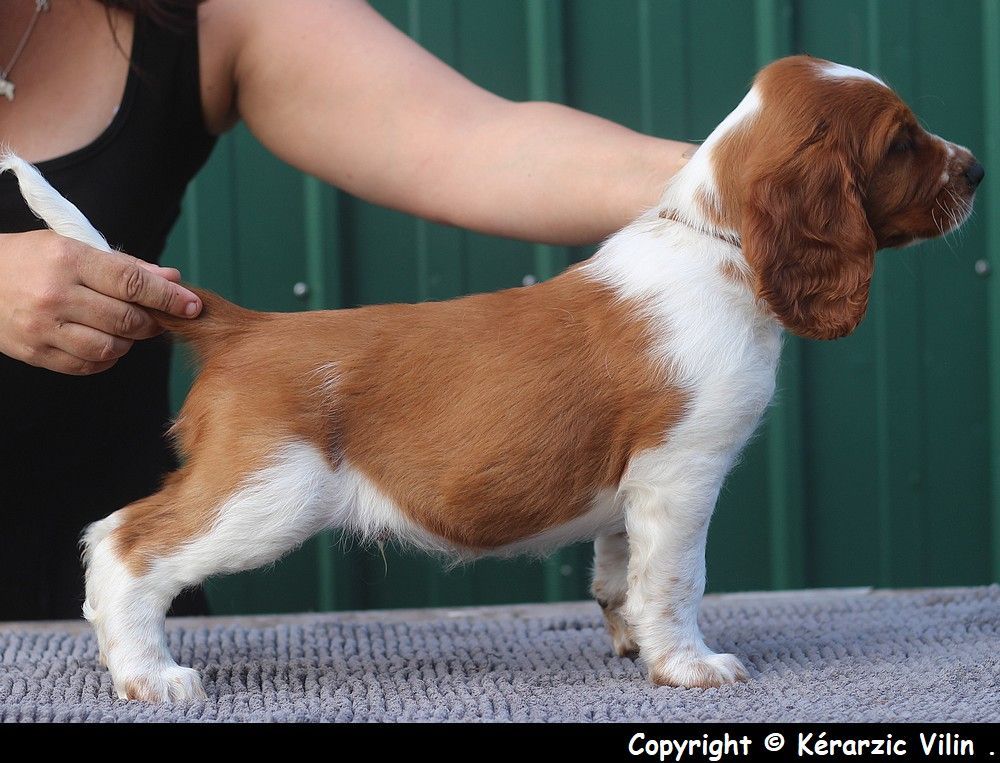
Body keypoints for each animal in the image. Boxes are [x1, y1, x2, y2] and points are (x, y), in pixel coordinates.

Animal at [1, 55, 984, 704]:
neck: (721, 245)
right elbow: (677, 579)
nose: (976, 168)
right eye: (903, 140)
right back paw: (147, 671)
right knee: (125, 542)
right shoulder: (682, 473)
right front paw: (688, 665)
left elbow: (619, 569)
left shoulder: (634, 488)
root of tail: (250, 327)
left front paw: (628, 641)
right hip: (267, 491)